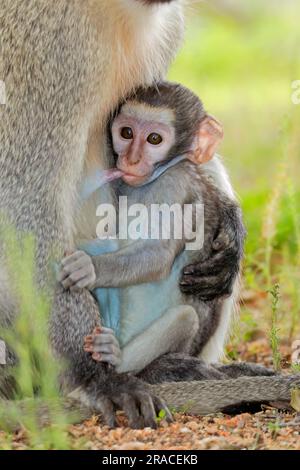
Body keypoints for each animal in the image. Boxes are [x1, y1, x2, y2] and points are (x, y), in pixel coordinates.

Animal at [59, 81, 244, 374]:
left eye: (154, 139)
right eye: (126, 133)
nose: (131, 160)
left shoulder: (175, 185)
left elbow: (158, 255)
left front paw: (89, 267)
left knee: (186, 317)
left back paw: (117, 358)